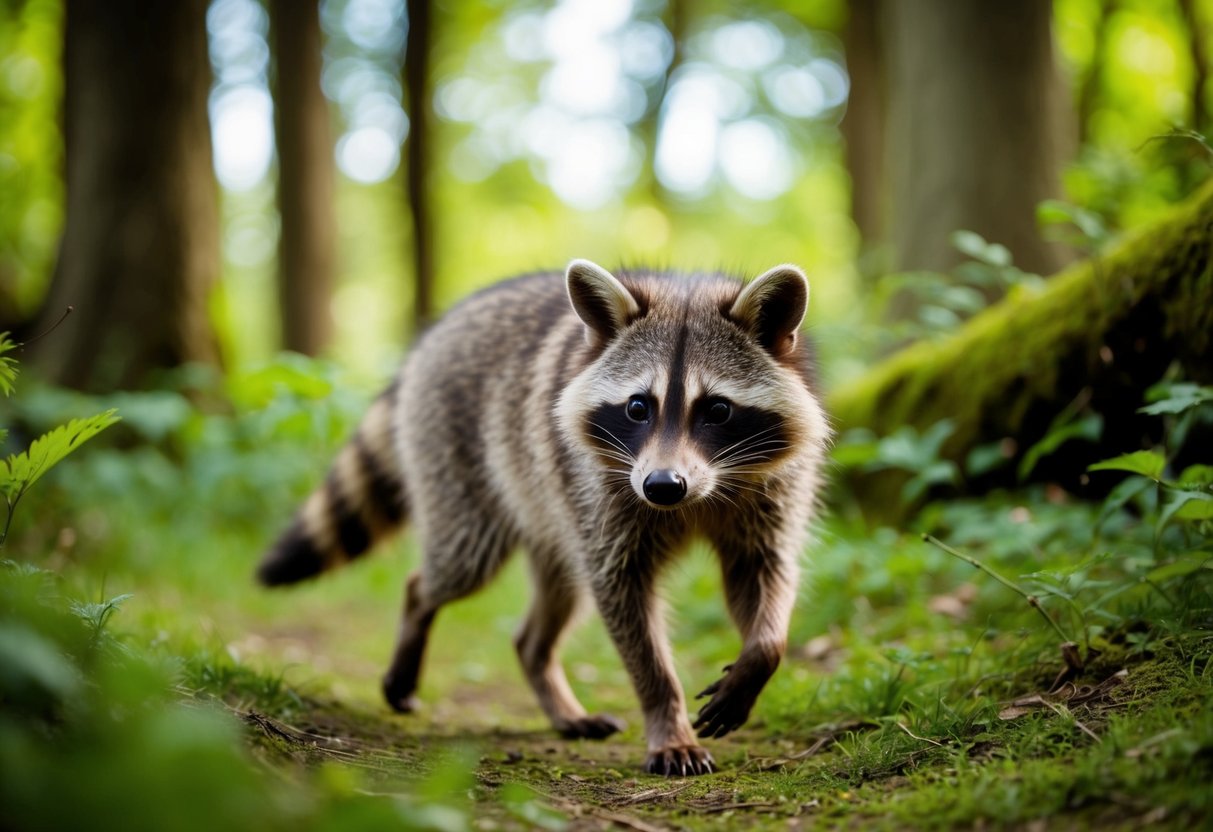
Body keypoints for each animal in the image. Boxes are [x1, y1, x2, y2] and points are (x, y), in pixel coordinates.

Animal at [258, 260, 830, 776]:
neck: (696, 498)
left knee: (553, 603)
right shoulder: (604, 489)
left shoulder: (773, 492)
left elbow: (764, 574)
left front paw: (760, 656)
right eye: (638, 407)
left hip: (554, 513)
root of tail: (440, 328)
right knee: (451, 570)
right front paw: (665, 713)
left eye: (717, 410)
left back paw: (552, 686)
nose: (663, 486)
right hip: (465, 470)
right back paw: (416, 621)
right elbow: (623, 597)